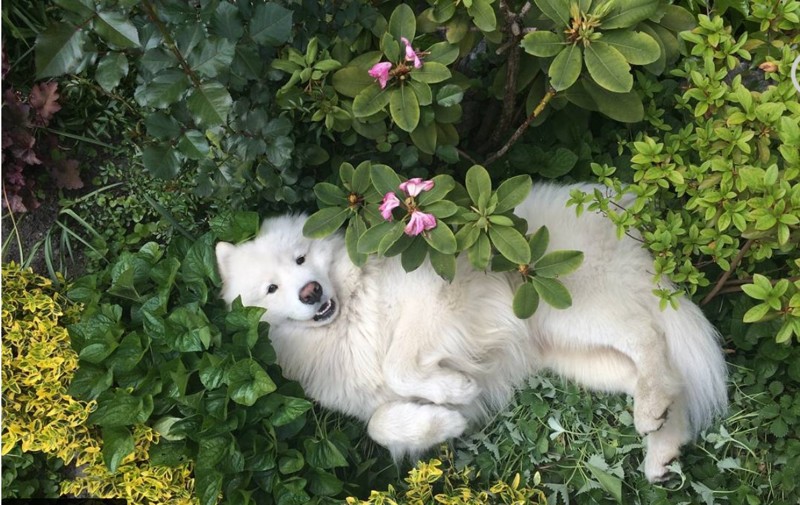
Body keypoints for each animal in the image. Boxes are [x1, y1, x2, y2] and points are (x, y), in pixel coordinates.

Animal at [216, 183, 728, 482]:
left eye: (301, 259)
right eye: (271, 288)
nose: (311, 292)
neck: (350, 312)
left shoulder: (433, 307)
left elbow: (399, 366)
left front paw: (454, 390)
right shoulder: (374, 401)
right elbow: (381, 426)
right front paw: (443, 423)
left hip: (572, 310)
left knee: (647, 335)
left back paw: (651, 413)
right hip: (575, 355)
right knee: (665, 376)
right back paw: (662, 447)